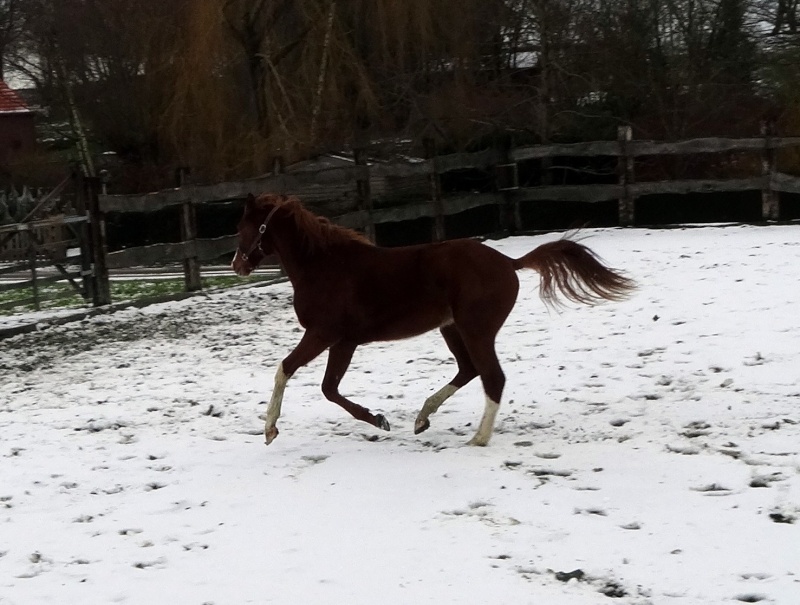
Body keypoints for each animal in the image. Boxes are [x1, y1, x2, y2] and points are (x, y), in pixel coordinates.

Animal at [233, 192, 636, 444]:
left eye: (244, 228)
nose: (237, 265)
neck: (324, 267)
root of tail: (508, 262)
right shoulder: (344, 341)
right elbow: (329, 389)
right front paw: (379, 419)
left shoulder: (323, 334)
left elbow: (287, 370)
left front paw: (269, 430)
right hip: (452, 329)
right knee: (469, 370)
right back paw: (422, 418)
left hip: (475, 329)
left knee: (492, 377)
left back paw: (477, 439)